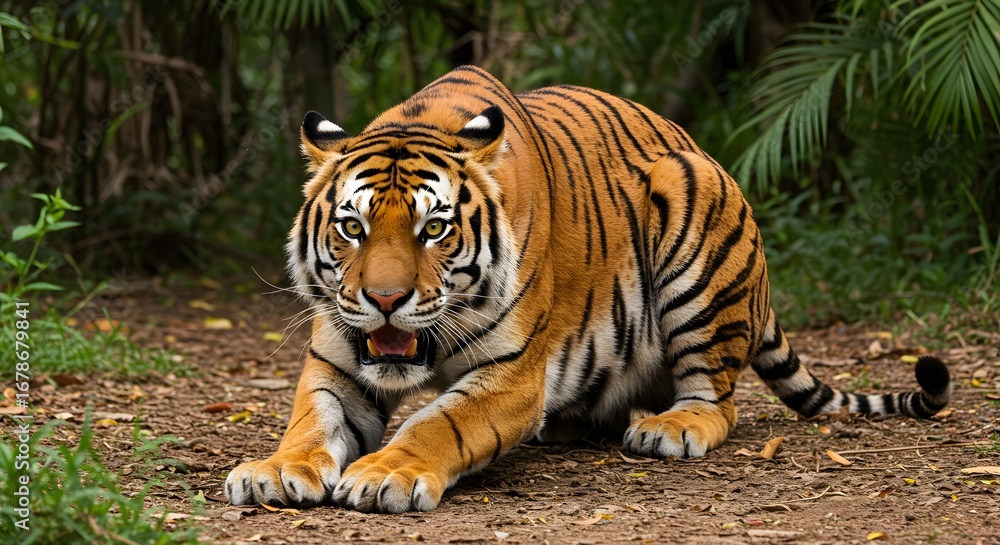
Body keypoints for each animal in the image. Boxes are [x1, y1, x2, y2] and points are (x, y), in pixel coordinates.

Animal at [225, 65, 952, 513]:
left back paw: (670, 427)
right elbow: (310, 420)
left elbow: (438, 422)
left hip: (693, 203)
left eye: (434, 229)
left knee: (719, 400)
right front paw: (275, 468)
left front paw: (383, 474)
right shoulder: (337, 361)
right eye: (352, 226)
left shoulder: (511, 375)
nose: (384, 301)